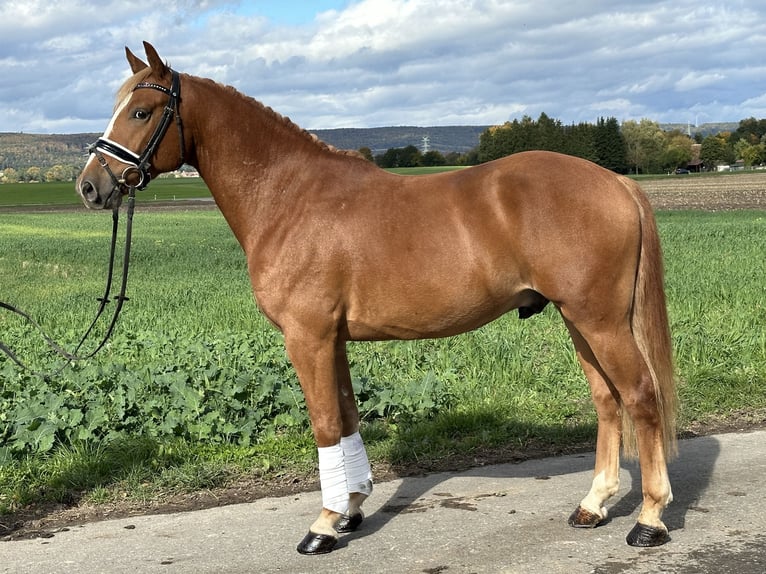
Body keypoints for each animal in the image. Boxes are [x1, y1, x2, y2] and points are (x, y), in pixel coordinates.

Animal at [78, 41, 680, 560]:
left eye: (142, 110)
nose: (90, 187)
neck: (290, 197)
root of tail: (616, 182)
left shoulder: (308, 337)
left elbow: (324, 423)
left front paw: (322, 526)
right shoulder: (334, 340)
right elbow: (346, 416)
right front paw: (351, 507)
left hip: (600, 321)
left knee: (640, 396)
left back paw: (649, 519)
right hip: (580, 321)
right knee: (607, 401)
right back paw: (593, 505)